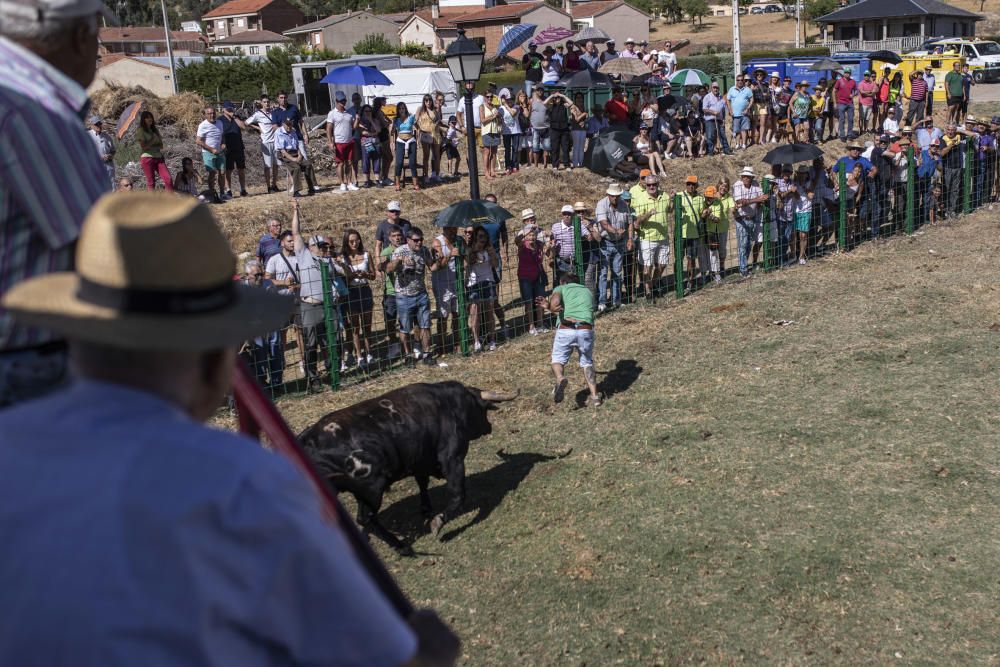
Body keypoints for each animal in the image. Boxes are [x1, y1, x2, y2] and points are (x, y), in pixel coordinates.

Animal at [296, 380, 520, 552]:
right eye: (483, 410)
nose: (489, 427)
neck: (450, 404)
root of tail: (306, 439)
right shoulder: (453, 459)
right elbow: (458, 495)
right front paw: (438, 521)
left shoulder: (420, 460)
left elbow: (422, 483)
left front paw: (426, 509)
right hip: (371, 489)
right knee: (366, 518)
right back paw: (401, 546)